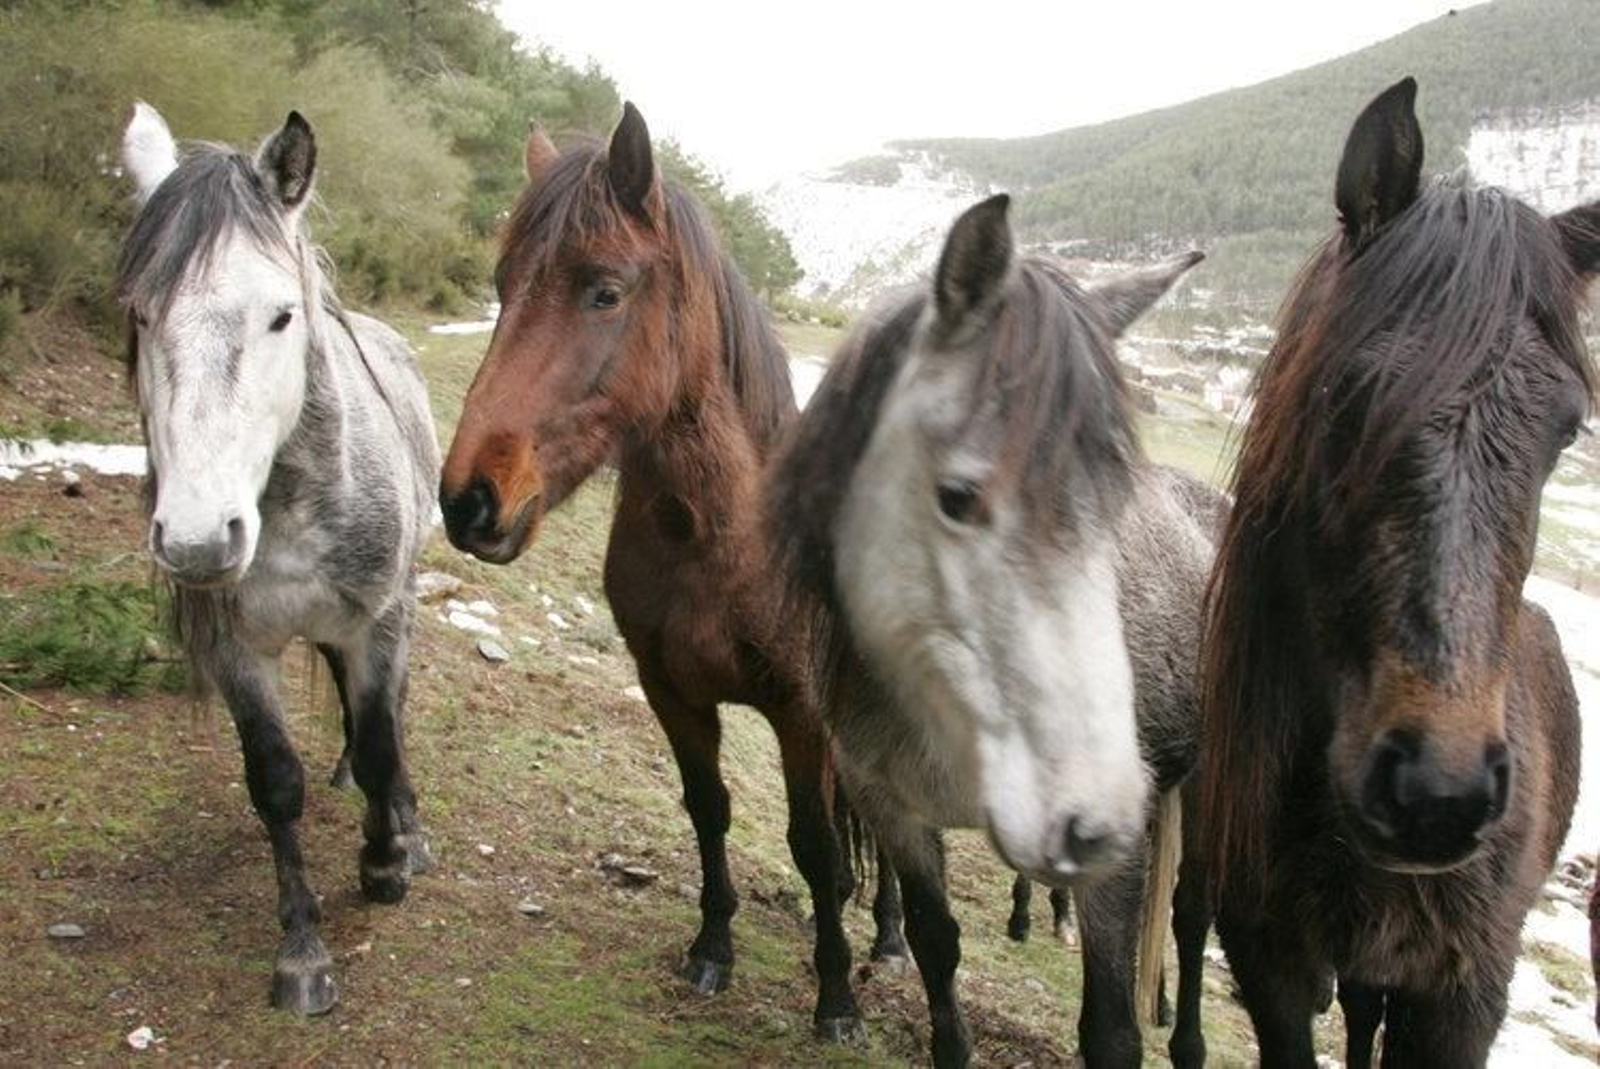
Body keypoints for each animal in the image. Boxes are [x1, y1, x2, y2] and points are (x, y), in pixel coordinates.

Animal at [116, 104, 440, 1015]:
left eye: (281, 316)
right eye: (141, 314)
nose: (197, 538)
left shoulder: (377, 620)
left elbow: (383, 738)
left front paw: (384, 862)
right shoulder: (237, 649)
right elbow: (274, 781)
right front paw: (301, 952)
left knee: (391, 713)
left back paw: (402, 820)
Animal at [435, 104, 887, 1040]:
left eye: (604, 291)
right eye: (503, 284)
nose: (469, 501)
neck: (718, 537)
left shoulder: (801, 713)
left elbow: (813, 844)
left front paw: (836, 999)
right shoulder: (671, 690)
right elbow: (708, 809)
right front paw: (712, 947)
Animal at [766, 193, 1222, 1068]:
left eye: (1118, 503)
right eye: (958, 497)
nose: (1093, 813)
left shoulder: (1116, 858)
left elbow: (1111, 1027)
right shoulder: (891, 805)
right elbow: (935, 944)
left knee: (1190, 920)